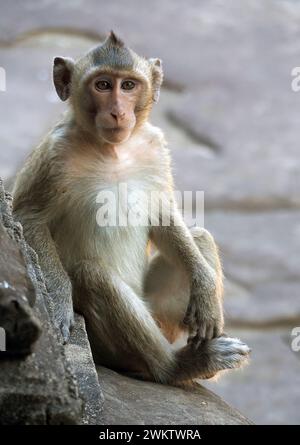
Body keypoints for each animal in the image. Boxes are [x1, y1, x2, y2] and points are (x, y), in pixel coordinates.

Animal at [12, 32, 250, 386]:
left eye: (128, 86)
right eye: (103, 85)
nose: (117, 112)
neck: (113, 150)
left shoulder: (155, 146)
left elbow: (163, 214)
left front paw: (206, 292)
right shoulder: (54, 152)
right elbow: (29, 218)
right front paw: (58, 303)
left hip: (159, 315)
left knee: (200, 237)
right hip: (108, 347)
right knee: (92, 275)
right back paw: (177, 366)